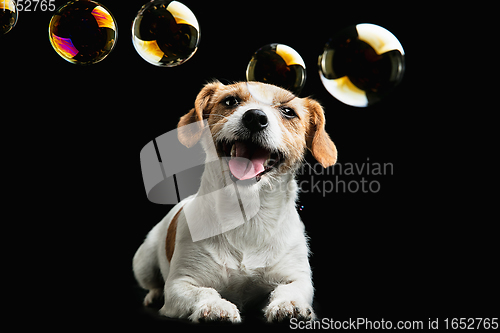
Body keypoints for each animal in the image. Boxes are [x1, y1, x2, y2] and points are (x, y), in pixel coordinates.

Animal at [132, 80, 336, 322]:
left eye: (288, 111)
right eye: (230, 101)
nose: (255, 117)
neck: (247, 216)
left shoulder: (297, 277)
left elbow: (289, 289)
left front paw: (288, 304)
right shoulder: (180, 284)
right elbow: (203, 291)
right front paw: (215, 305)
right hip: (143, 262)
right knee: (154, 283)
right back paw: (154, 295)